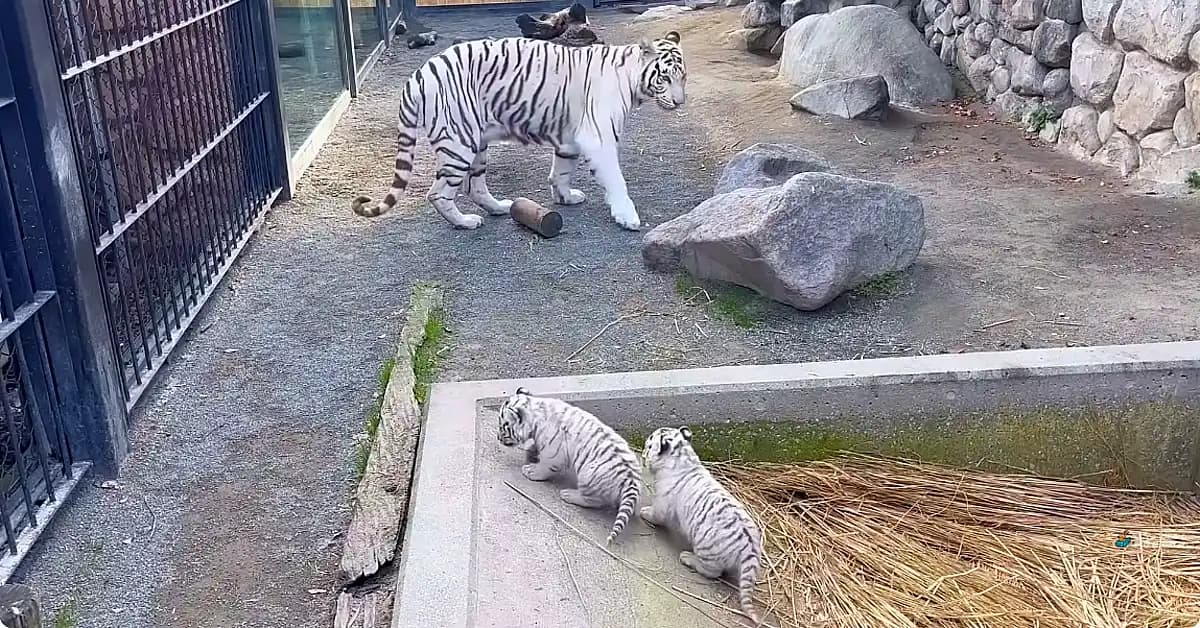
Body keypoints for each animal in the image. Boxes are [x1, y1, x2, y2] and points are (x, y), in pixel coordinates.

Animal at [350, 30, 686, 230]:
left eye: (682, 77)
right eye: (664, 78)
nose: (680, 102)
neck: (632, 83)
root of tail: (418, 75)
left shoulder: (569, 141)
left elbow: (561, 172)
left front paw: (565, 197)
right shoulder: (599, 139)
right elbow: (616, 181)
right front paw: (627, 216)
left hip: (477, 142)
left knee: (475, 186)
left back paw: (500, 207)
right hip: (460, 143)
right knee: (439, 193)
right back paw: (465, 222)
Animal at [496, 389, 643, 545]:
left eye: (502, 427)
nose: (498, 438)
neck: (537, 411)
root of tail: (631, 482)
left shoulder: (553, 452)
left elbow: (544, 466)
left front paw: (532, 471)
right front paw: (530, 453)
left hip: (587, 476)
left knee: (594, 501)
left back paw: (569, 495)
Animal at [643, 427, 763, 624]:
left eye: (649, 445)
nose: (643, 456)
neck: (683, 458)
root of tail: (749, 548)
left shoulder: (662, 503)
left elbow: (655, 514)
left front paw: (644, 512)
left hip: (707, 551)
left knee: (712, 572)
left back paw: (688, 558)